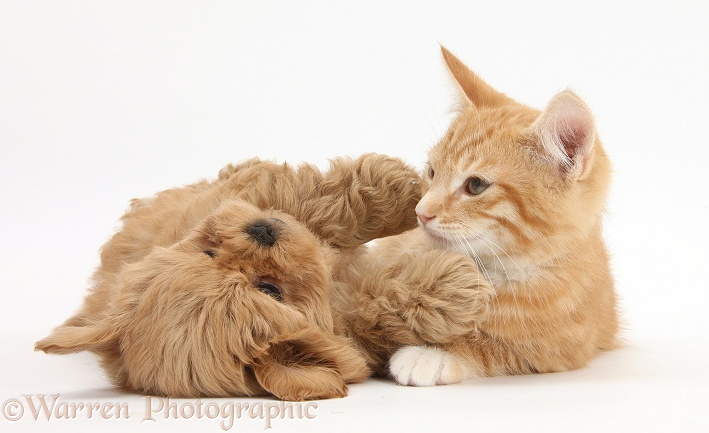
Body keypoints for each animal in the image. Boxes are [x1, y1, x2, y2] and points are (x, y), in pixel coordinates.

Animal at [36, 154, 420, 400]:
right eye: (270, 291)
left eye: (209, 254)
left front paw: (395, 193)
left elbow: (300, 197)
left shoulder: (239, 200)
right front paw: (401, 185)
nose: (262, 231)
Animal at [368, 47, 616, 384]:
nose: (420, 213)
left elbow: (493, 346)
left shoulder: (558, 351)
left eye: (475, 185)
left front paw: (431, 354)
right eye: (432, 172)